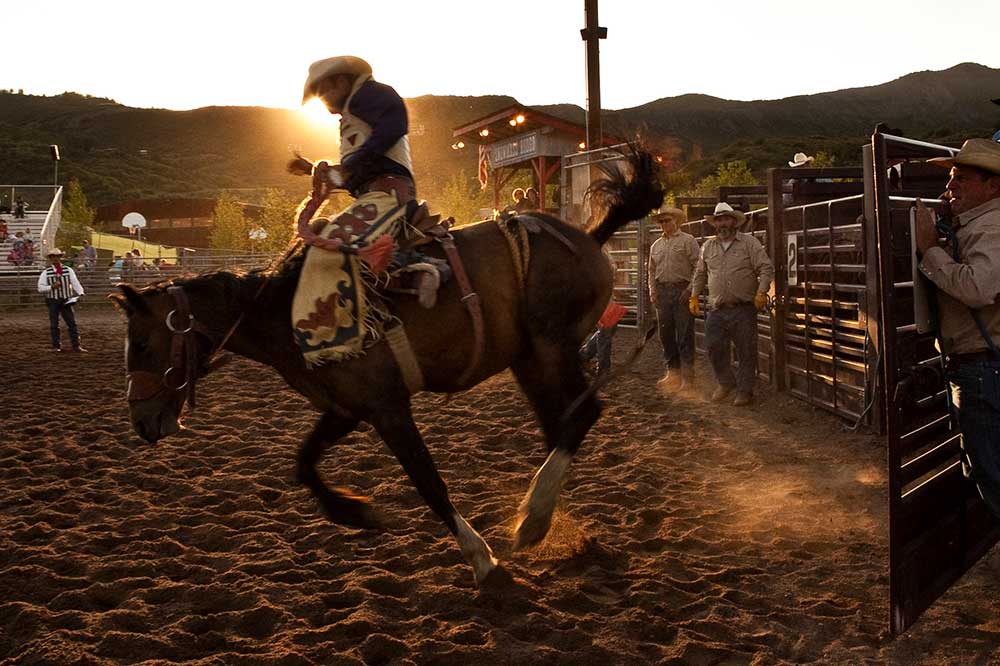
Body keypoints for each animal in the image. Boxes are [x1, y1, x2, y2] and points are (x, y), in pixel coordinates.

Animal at [113, 148, 664, 584]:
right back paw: (542, 520)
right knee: (562, 423)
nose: (141, 422)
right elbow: (303, 462)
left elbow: (428, 482)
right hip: (527, 358)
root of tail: (591, 237)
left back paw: (532, 518)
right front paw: (354, 511)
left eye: (141, 343)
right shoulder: (345, 409)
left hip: (552, 346)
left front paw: (480, 558)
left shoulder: (388, 408)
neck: (282, 309)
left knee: (583, 414)